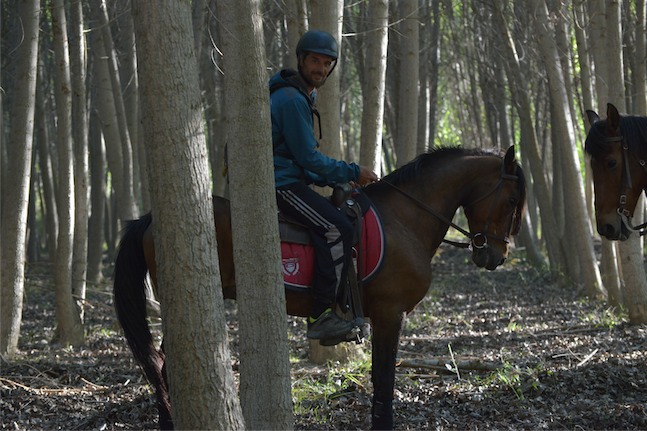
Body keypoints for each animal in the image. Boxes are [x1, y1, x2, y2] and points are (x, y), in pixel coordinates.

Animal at [112, 147, 528, 430]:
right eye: (511, 200)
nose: (496, 254)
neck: (405, 220)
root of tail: (150, 219)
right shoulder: (390, 314)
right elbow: (384, 377)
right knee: (167, 364)